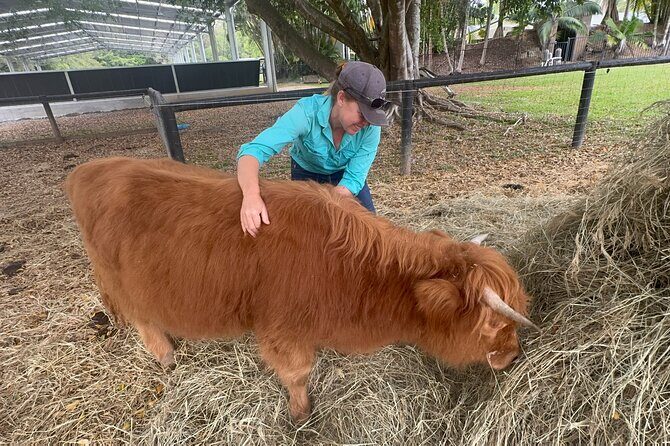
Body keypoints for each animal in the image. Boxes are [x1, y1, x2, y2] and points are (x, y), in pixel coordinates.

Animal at [65, 157, 539, 424]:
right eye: (493, 323)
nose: (513, 356)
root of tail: (91, 169)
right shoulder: (282, 329)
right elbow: (297, 373)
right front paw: (300, 414)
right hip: (125, 282)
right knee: (144, 320)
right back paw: (167, 356)